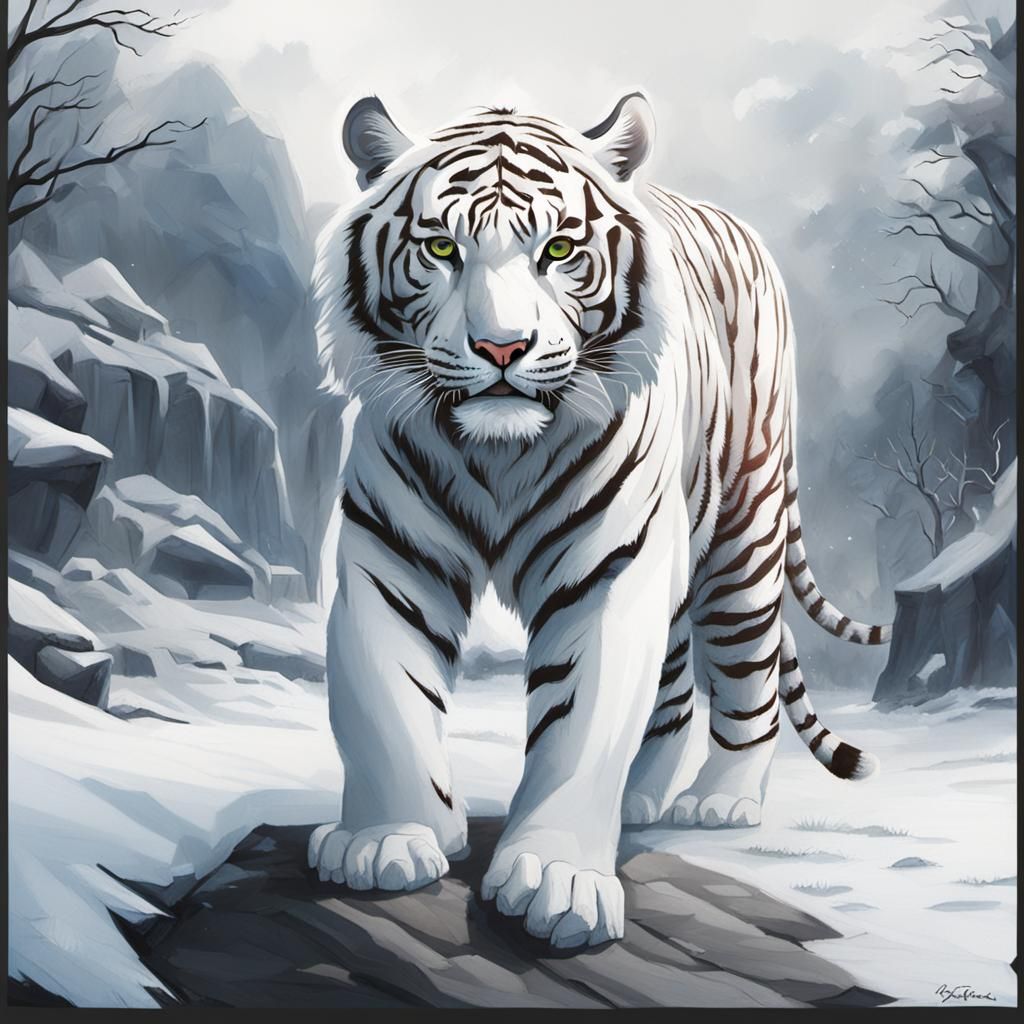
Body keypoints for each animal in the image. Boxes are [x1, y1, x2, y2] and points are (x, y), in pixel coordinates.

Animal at [307, 92, 891, 949]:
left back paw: (720, 800)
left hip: (741, 539)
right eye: (442, 247)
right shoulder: (392, 556)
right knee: (675, 690)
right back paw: (643, 798)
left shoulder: (605, 574)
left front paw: (558, 880)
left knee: (746, 680)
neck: (499, 456)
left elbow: (581, 725)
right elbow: (387, 699)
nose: (502, 347)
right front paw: (391, 840)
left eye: (557, 249)